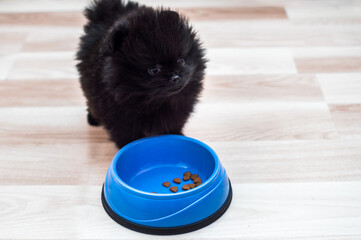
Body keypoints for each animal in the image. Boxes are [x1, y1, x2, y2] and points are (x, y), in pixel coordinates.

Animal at [76, 0, 205, 148]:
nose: (176, 76)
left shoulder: (178, 110)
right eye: (153, 70)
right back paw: (93, 119)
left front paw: (176, 135)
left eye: (181, 60)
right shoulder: (120, 119)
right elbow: (127, 136)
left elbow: (172, 125)